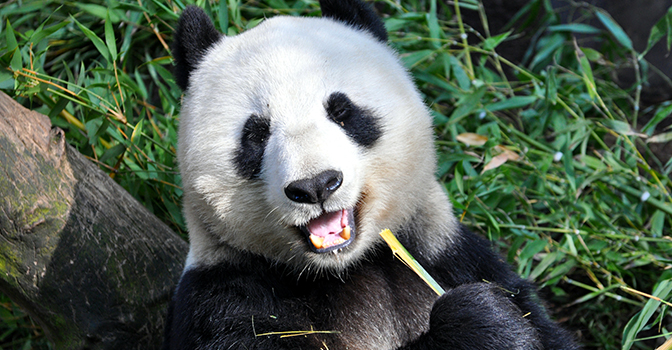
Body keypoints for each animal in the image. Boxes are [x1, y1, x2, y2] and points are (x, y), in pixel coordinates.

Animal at [164, 1, 584, 348]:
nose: (315, 185)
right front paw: (480, 320)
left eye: (342, 112)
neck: (346, 268)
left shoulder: (448, 253)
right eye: (256, 134)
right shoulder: (228, 295)